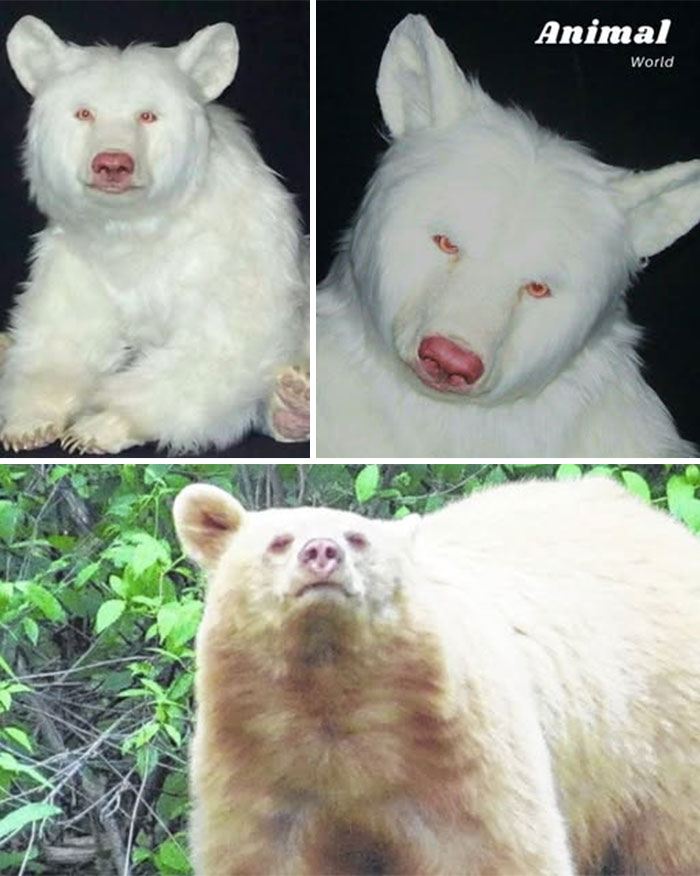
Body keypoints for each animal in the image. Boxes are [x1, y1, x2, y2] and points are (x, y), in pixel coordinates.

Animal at [1, 16, 308, 455]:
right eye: (83, 112)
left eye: (148, 115)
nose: (113, 163)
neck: (139, 226)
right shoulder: (80, 256)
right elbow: (64, 330)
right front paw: (31, 422)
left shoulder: (231, 243)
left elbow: (222, 340)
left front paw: (99, 426)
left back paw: (295, 403)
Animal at [173, 477, 700, 875]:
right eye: (279, 541)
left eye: (356, 538)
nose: (321, 552)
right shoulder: (258, 756)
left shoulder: (459, 751)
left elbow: (496, 851)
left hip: (663, 737)